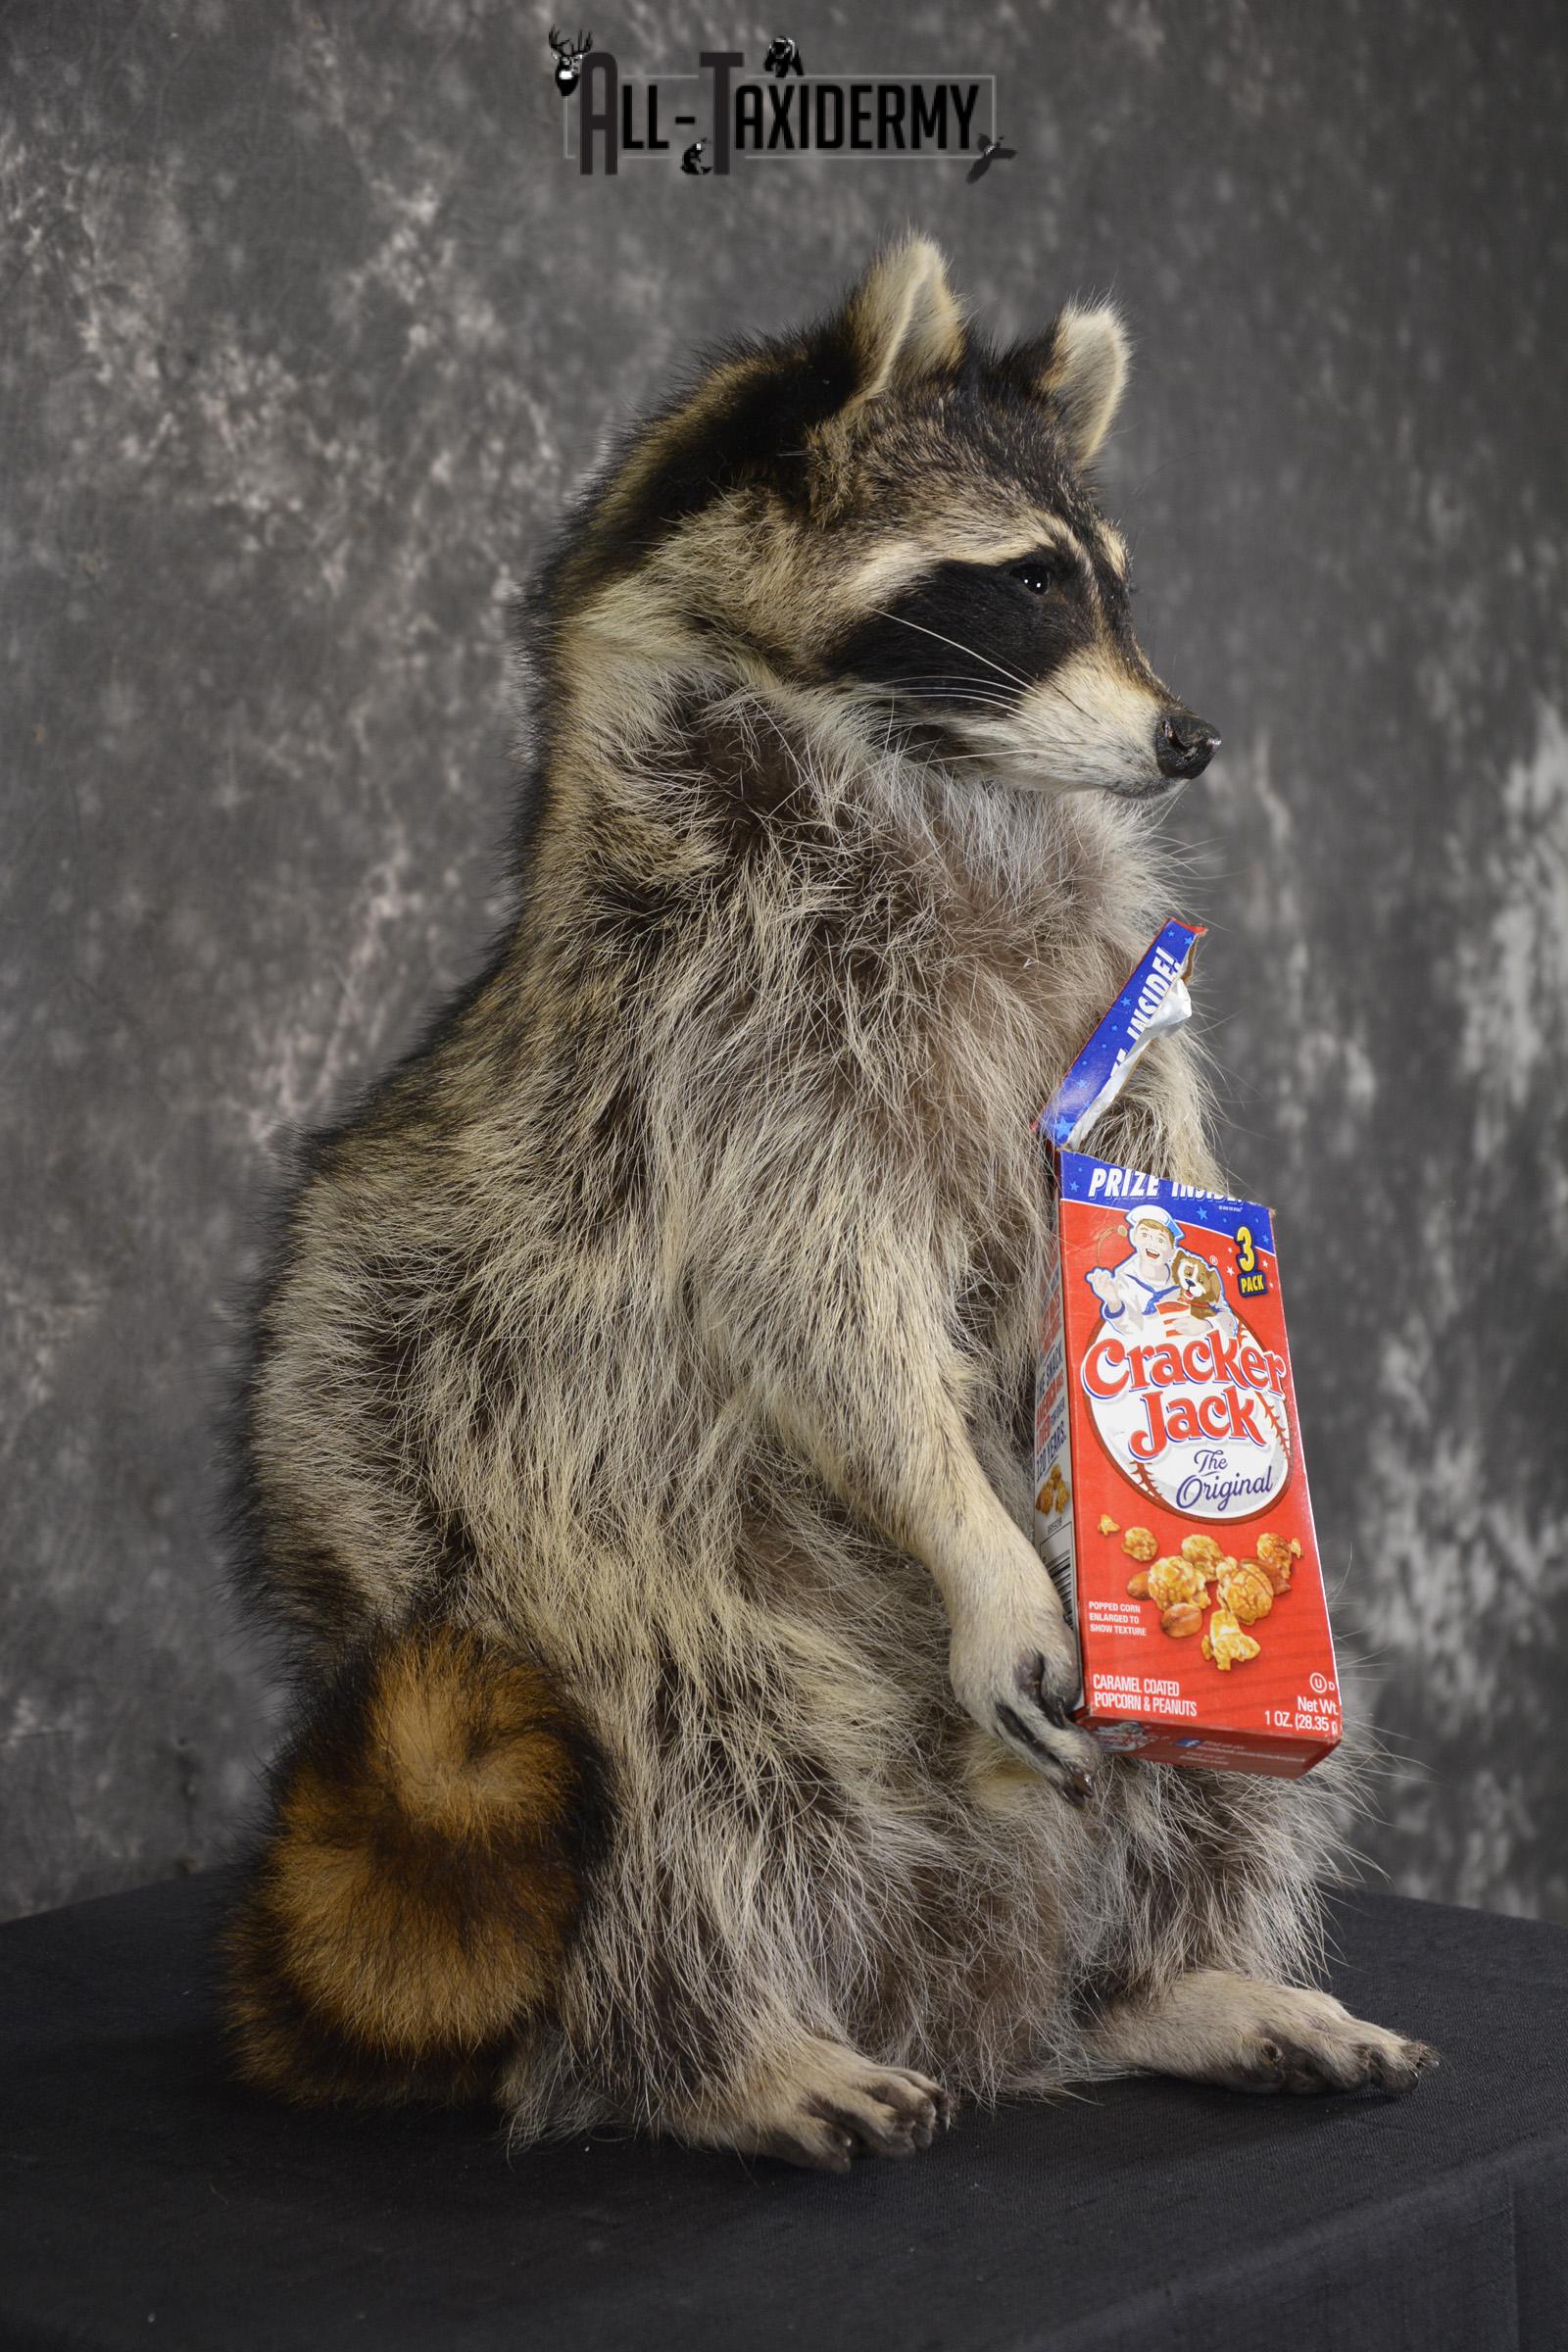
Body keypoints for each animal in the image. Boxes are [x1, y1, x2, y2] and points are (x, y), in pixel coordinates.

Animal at [225, 238, 1432, 2165]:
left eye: (1114, 585)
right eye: (1024, 585)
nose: (1190, 738)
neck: (943, 776)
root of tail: (976, 1997)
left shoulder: (1108, 999)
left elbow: (1140, 1183)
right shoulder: (720, 1021)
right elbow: (813, 1293)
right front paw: (979, 1529)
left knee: (1192, 1801)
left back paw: (1175, 1974)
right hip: (513, 1552)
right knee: (681, 1761)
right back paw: (717, 2041)